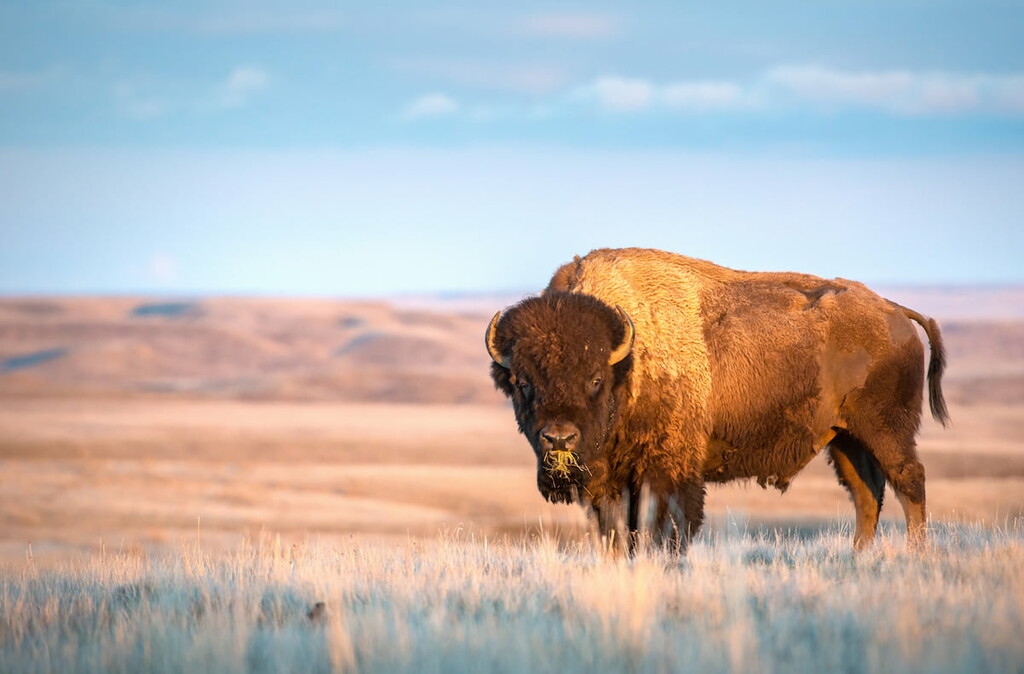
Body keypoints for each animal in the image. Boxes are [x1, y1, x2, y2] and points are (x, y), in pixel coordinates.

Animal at [486, 248, 948, 552]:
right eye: (523, 382)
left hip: (886, 429)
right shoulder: (609, 479)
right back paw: (858, 556)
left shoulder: (666, 470)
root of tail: (894, 311)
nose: (559, 438)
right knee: (866, 493)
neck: (628, 360)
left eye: (595, 379)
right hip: (844, 438)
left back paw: (915, 555)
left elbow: (663, 526)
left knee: (909, 481)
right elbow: (617, 532)